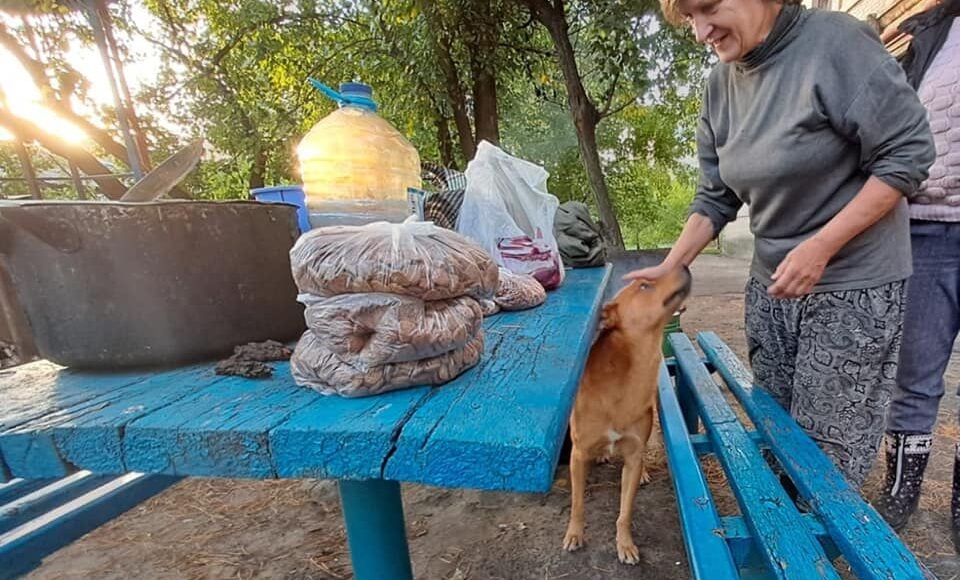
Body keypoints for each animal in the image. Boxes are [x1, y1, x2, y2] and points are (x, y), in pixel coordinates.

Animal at [564, 266, 688, 564]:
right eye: (644, 285)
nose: (683, 266)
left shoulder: (632, 453)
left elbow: (625, 512)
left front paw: (625, 544)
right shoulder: (578, 453)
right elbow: (578, 503)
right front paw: (575, 534)